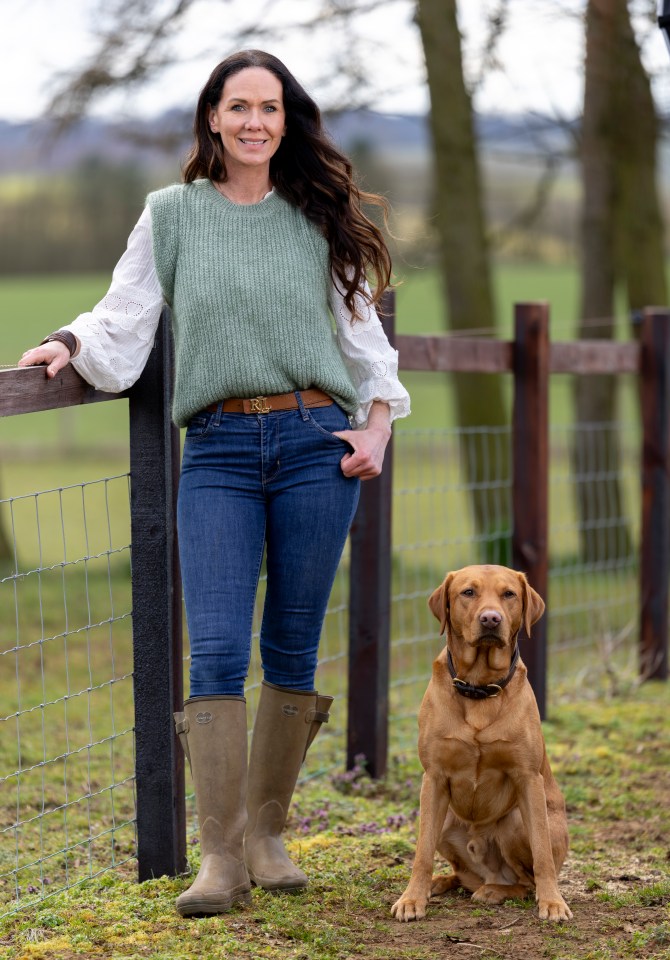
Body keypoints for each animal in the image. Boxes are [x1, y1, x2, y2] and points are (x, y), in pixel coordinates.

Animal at [392, 564, 576, 924]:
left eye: (509, 594)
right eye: (468, 592)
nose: (491, 619)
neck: (478, 687)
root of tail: (492, 873)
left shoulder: (527, 778)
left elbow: (542, 855)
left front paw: (553, 902)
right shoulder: (433, 779)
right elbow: (421, 853)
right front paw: (412, 898)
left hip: (515, 821)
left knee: (525, 882)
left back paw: (496, 891)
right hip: (446, 821)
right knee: (462, 873)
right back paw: (442, 882)